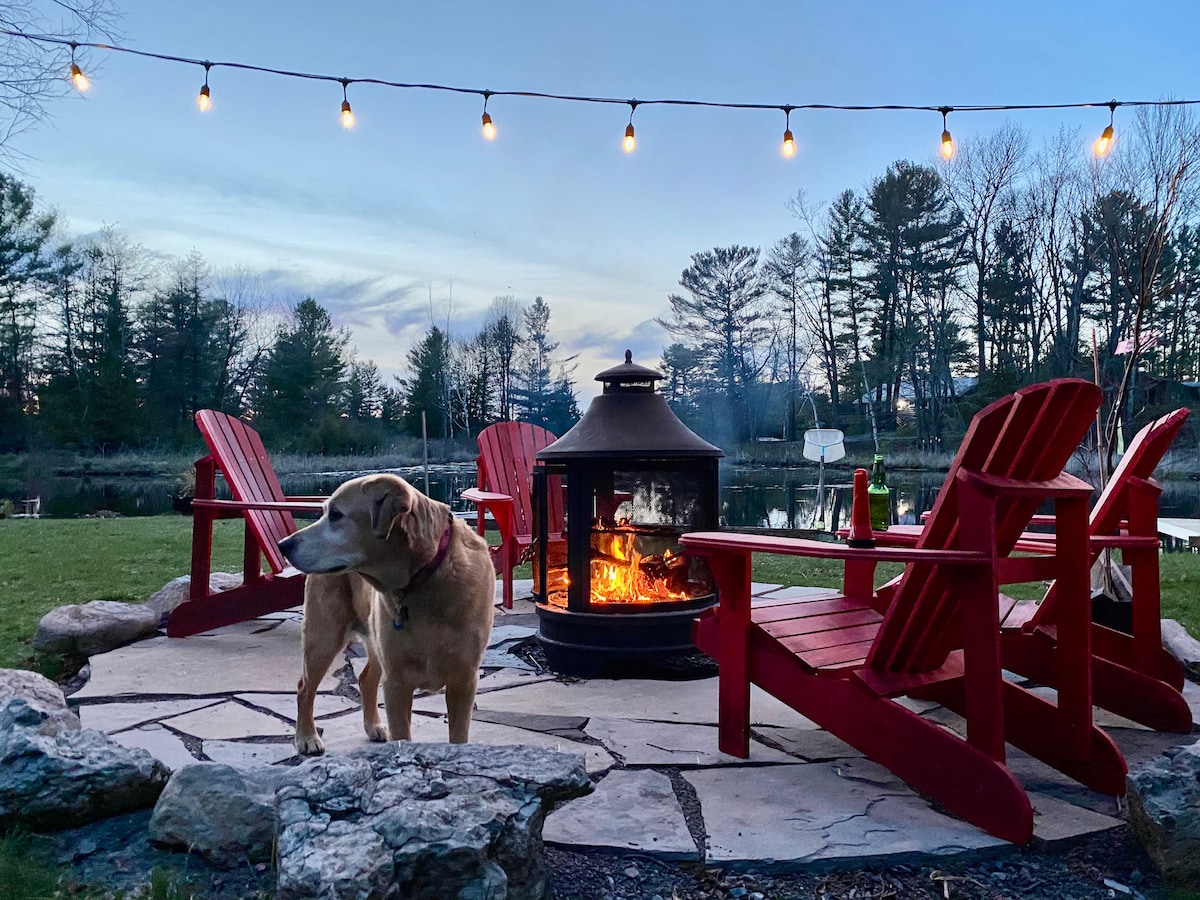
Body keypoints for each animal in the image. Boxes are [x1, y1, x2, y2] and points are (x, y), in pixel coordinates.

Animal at [277, 475, 492, 758]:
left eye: (335, 515)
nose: (283, 545)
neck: (425, 577)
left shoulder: (464, 680)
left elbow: (459, 737)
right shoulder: (397, 682)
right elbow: (403, 735)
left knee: (365, 679)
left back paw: (373, 726)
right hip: (324, 636)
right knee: (305, 687)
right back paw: (307, 737)